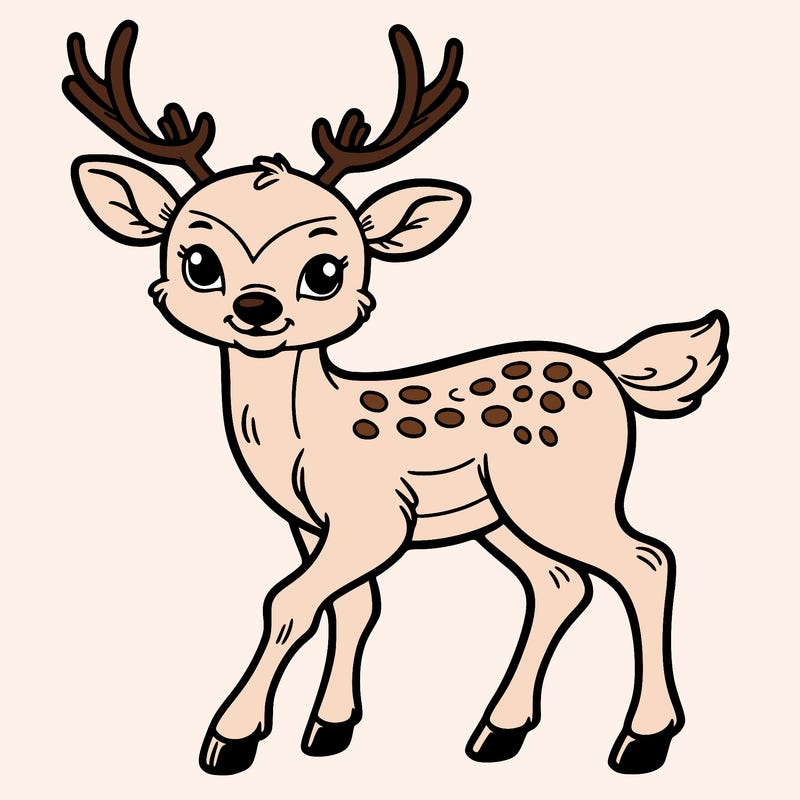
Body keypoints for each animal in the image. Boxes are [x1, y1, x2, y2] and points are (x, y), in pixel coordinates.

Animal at [64, 20, 728, 776]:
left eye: (325, 269)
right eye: (199, 261)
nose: (257, 308)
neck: (303, 436)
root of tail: (613, 372)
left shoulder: (372, 517)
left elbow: (289, 601)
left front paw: (231, 738)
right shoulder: (314, 524)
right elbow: (354, 605)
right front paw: (328, 729)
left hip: (565, 493)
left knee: (646, 560)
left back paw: (641, 740)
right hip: (503, 515)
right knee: (561, 583)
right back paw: (498, 731)